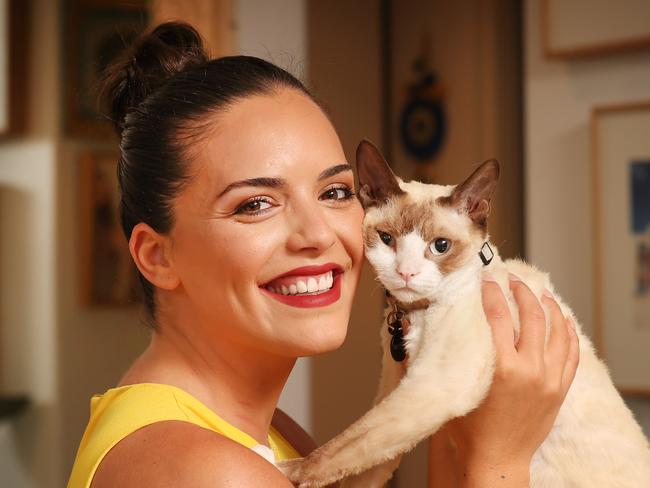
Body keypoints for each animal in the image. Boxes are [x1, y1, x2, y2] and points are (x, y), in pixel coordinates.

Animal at [280, 139, 650, 486]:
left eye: (440, 246)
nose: (406, 273)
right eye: (387, 239)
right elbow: (365, 465)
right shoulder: (393, 385)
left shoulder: (432, 385)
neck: (413, 316)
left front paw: (290, 470)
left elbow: (347, 443)